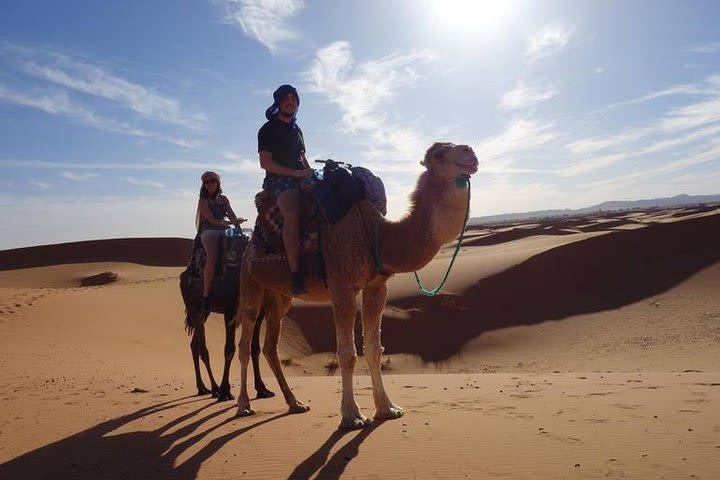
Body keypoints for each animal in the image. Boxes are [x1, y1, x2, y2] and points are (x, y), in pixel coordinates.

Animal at [235, 142, 478, 428]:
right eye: (440, 154)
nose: (470, 153)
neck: (376, 234)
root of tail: (249, 242)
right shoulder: (342, 288)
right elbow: (347, 354)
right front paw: (351, 415)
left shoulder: (376, 286)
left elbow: (374, 349)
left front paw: (387, 408)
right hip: (249, 281)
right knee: (244, 341)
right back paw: (243, 405)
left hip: (279, 296)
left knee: (270, 347)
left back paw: (295, 403)